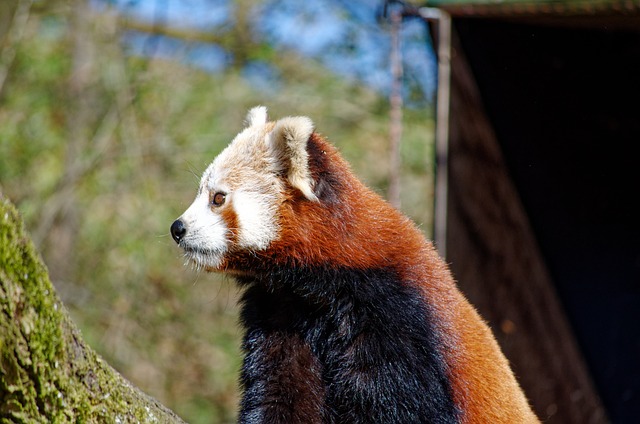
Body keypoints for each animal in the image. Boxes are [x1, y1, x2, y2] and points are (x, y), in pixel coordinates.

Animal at [171, 107, 540, 422]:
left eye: (218, 198)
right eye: (202, 192)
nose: (177, 228)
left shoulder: (397, 319)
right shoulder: (283, 314)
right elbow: (281, 393)